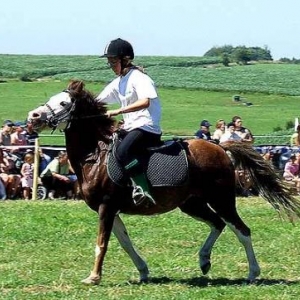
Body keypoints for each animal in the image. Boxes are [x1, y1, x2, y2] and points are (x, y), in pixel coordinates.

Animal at [27, 80, 300, 286]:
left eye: (63, 103)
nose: (33, 116)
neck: (94, 156)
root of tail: (219, 146)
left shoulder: (106, 207)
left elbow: (101, 244)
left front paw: (93, 277)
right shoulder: (109, 209)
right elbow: (124, 242)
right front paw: (143, 271)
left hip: (221, 199)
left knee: (241, 230)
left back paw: (253, 273)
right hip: (192, 204)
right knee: (218, 224)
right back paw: (204, 260)